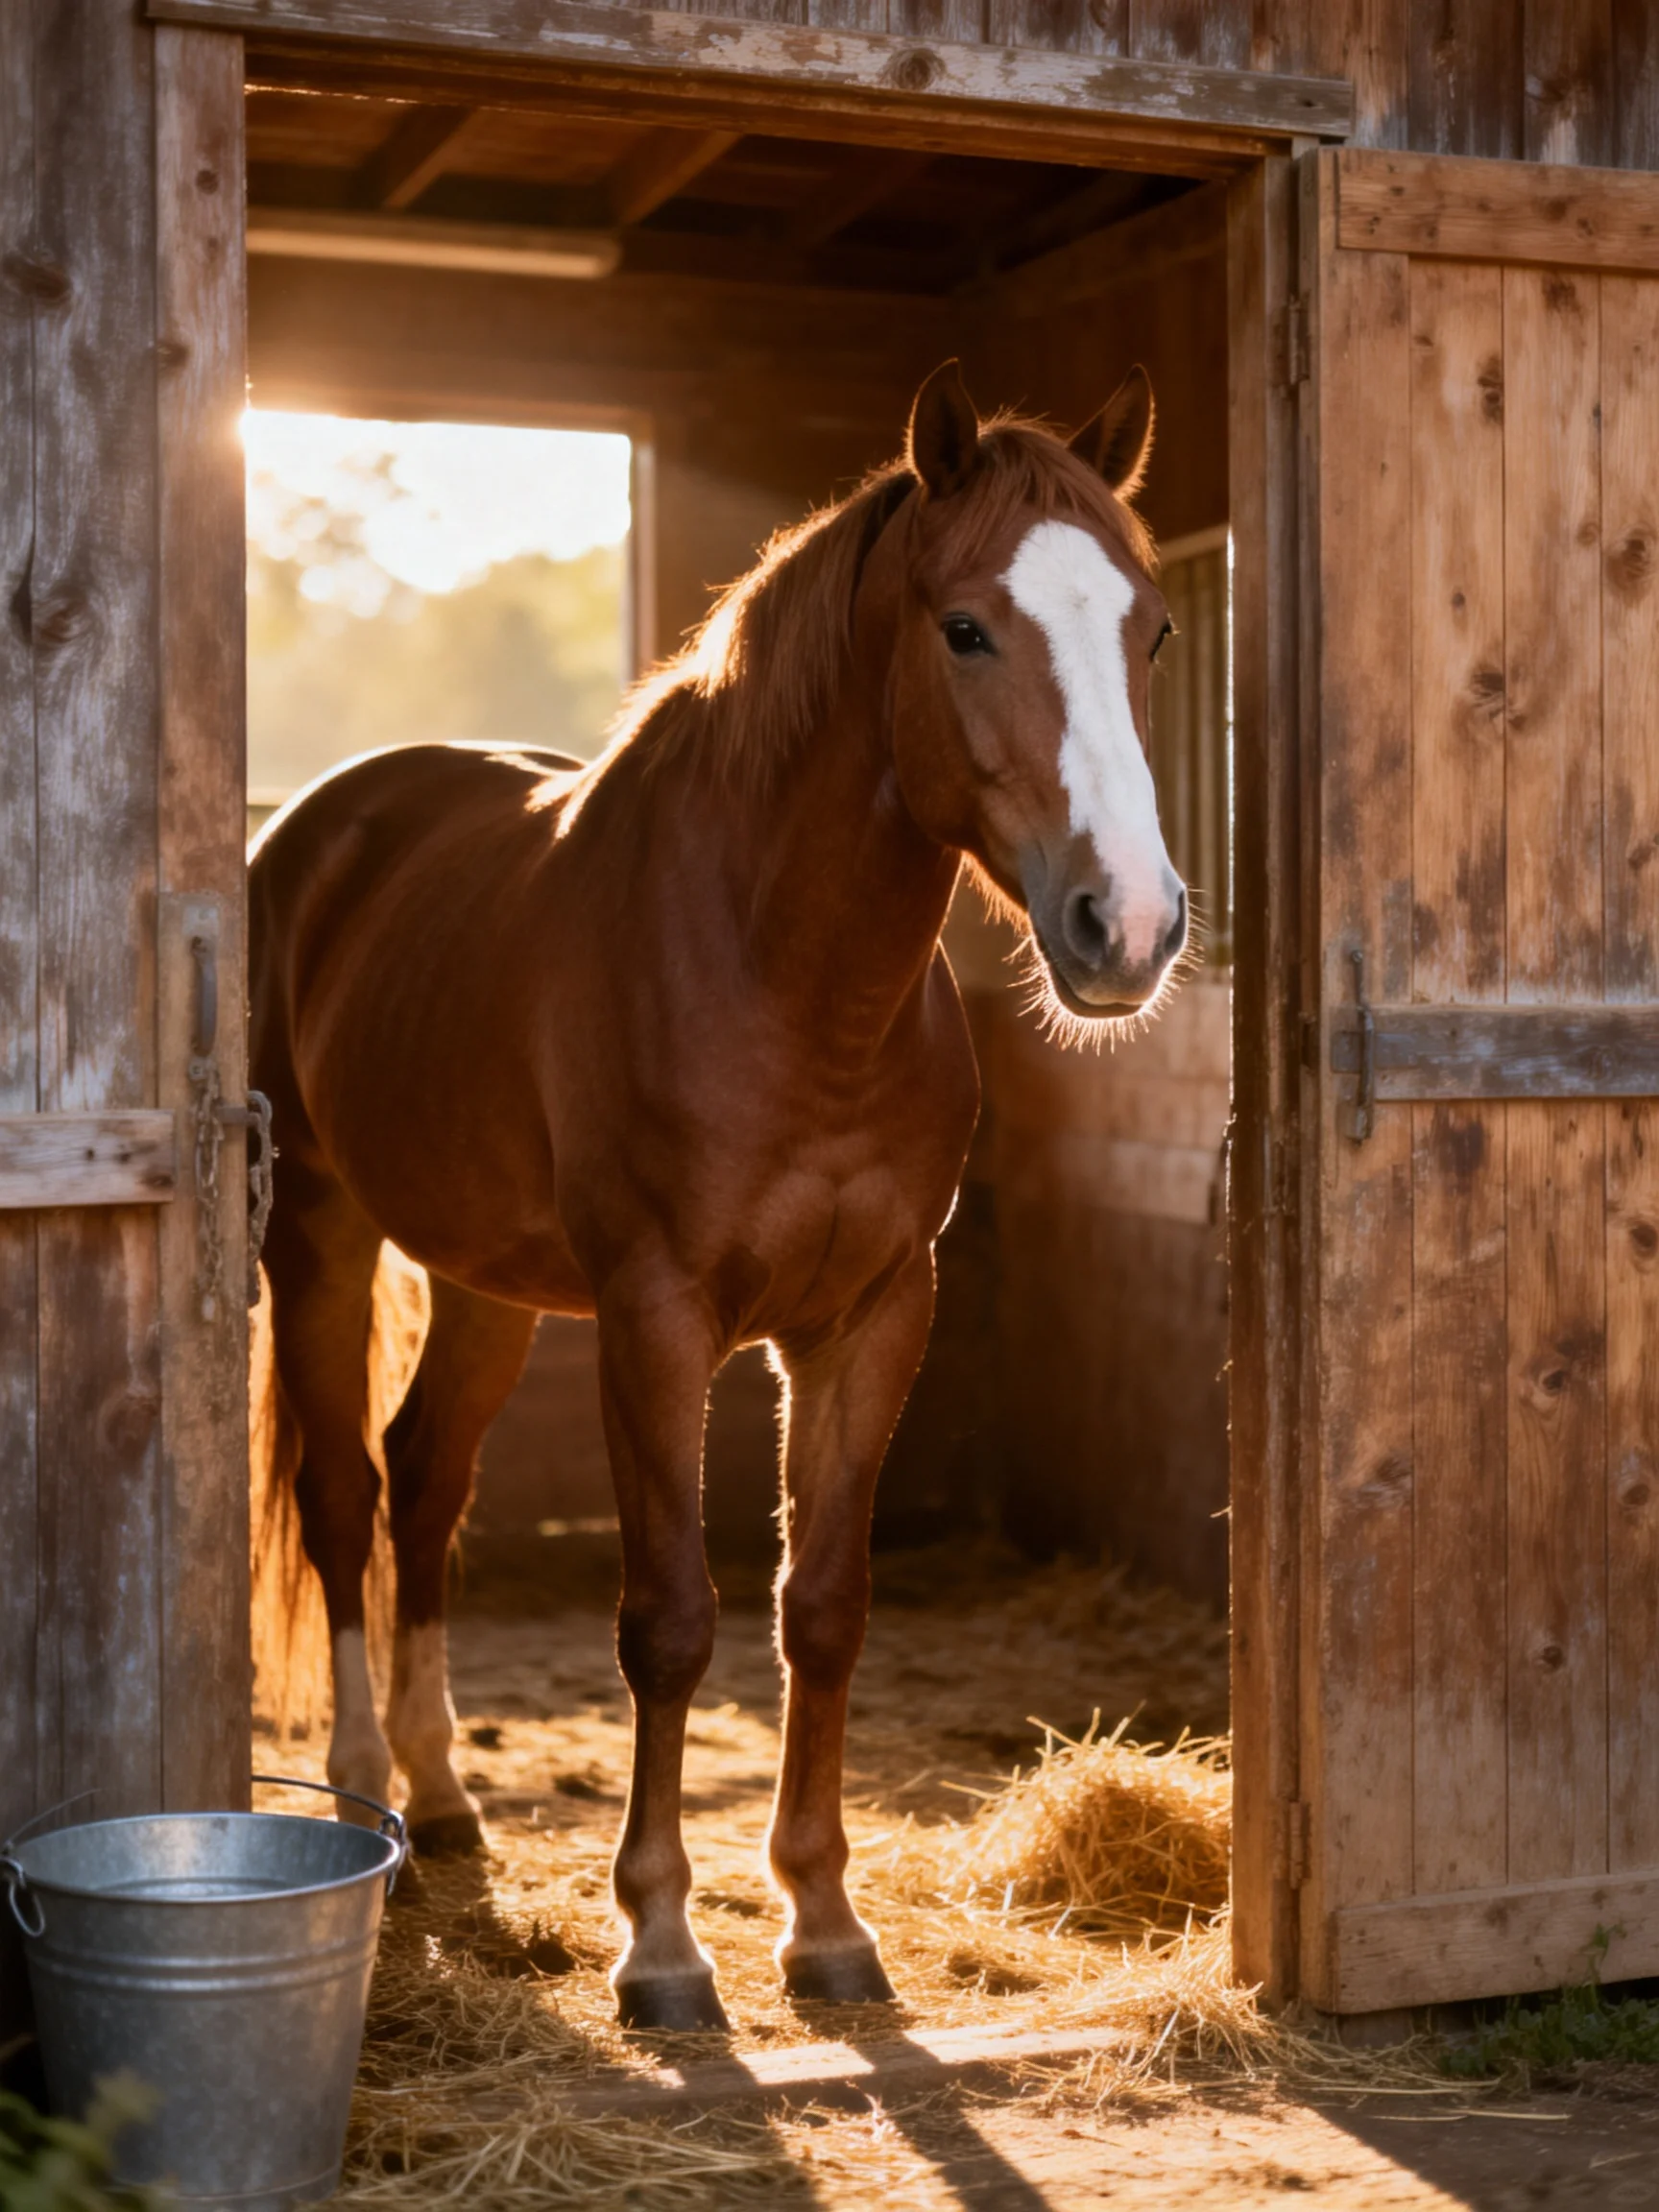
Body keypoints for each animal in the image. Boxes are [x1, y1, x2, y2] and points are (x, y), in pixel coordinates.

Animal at [247, 360, 1188, 2031]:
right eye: (965, 627)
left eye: (1147, 629)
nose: (1126, 928)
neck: (781, 970)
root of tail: (323, 823)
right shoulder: (657, 1317)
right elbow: (671, 1621)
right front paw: (664, 1945)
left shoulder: (873, 1317)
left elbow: (821, 1606)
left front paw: (824, 1926)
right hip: (319, 1232)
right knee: (344, 1496)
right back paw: (369, 1801)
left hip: (484, 1282)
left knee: (424, 1482)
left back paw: (441, 1799)